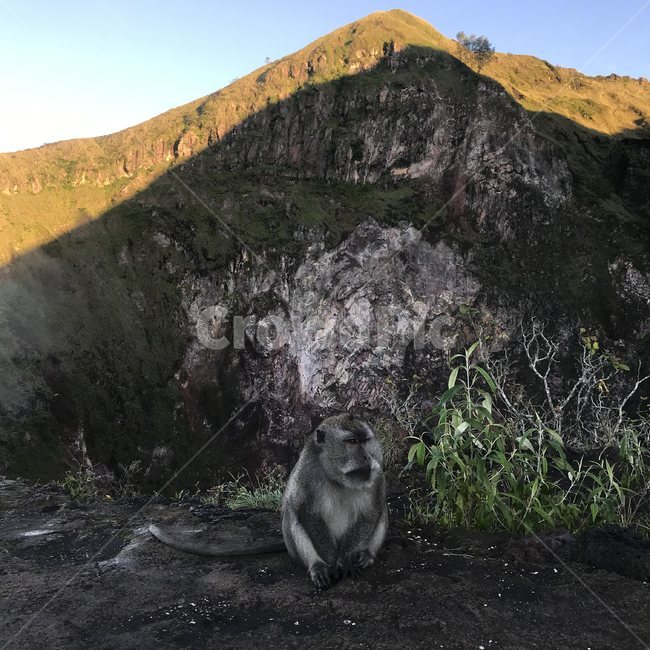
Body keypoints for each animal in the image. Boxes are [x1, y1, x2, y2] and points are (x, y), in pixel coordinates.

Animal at [148, 413, 388, 588]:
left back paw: (366, 555)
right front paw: (332, 562)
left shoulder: (376, 474)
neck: (336, 476)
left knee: (382, 511)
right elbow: (308, 514)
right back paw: (317, 566)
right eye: (352, 442)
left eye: (366, 441)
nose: (367, 456)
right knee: (293, 515)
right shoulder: (307, 474)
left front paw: (346, 560)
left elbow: (370, 513)